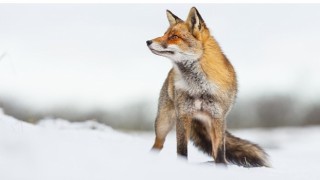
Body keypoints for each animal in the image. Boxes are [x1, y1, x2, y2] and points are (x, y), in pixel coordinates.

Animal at [147, 7, 270, 167]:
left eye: (174, 36)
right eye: (164, 34)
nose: (147, 41)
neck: (199, 87)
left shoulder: (218, 117)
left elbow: (220, 151)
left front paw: (222, 168)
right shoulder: (183, 116)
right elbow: (182, 150)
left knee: (213, 151)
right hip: (163, 124)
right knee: (158, 145)